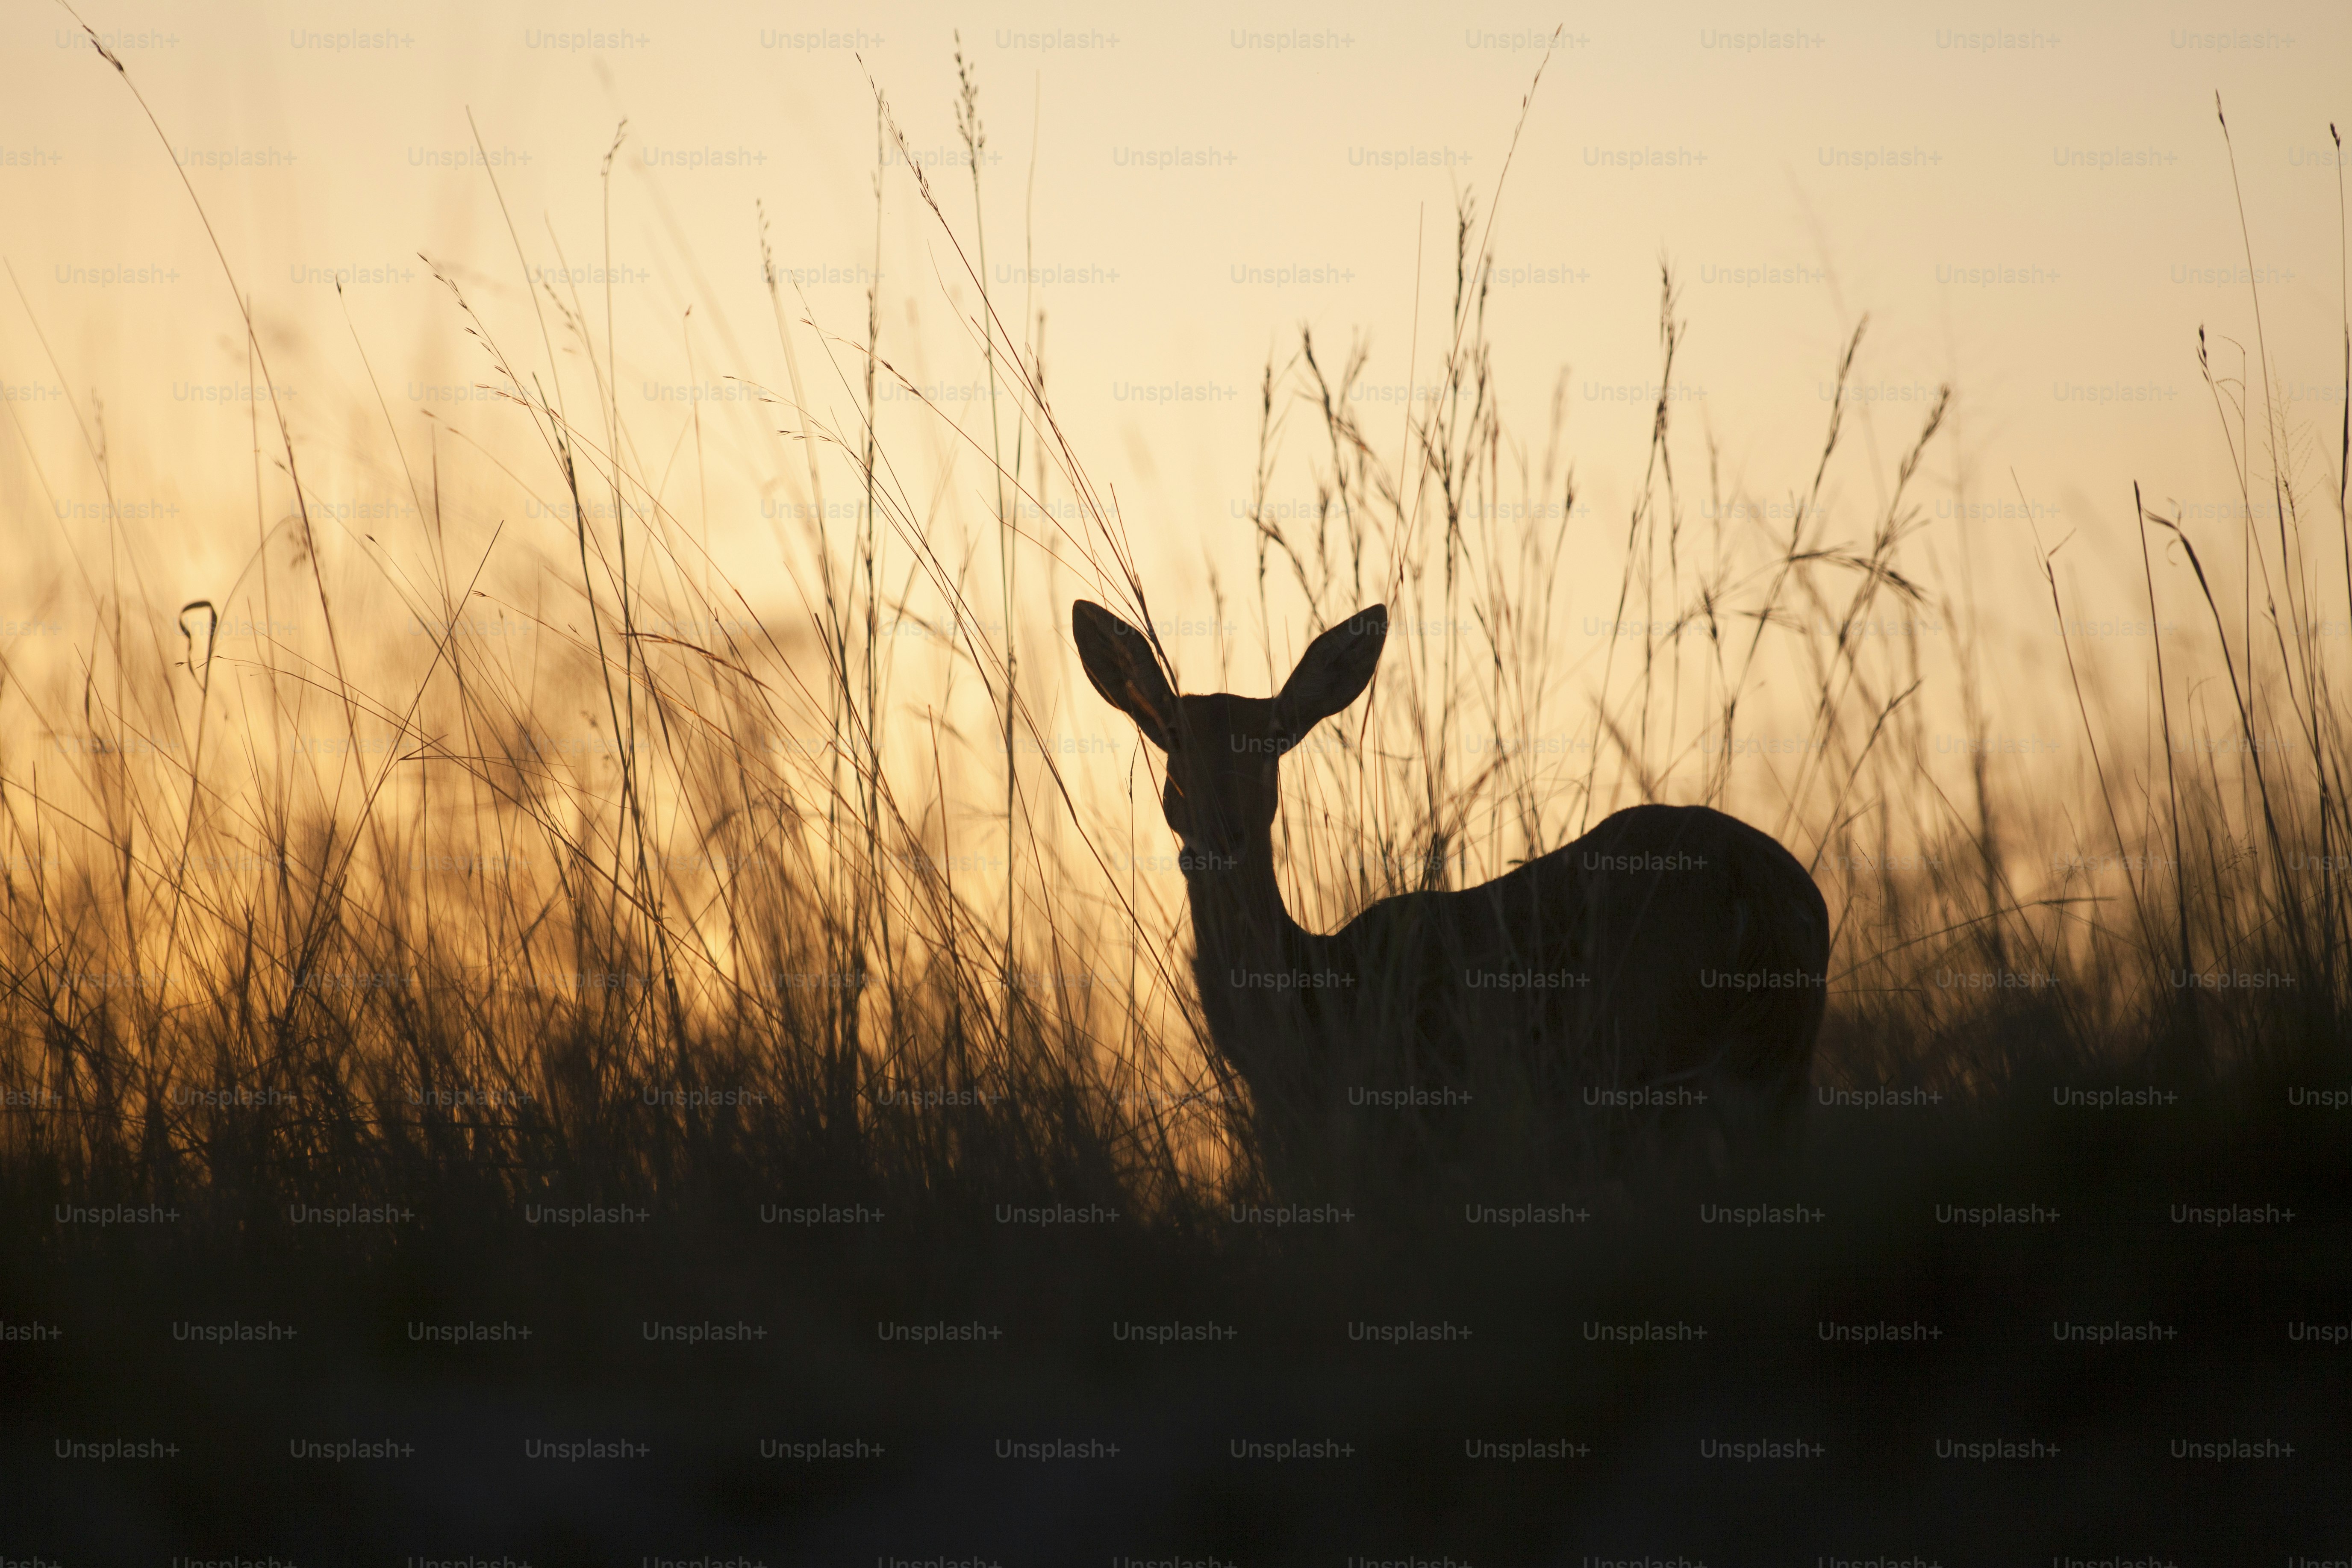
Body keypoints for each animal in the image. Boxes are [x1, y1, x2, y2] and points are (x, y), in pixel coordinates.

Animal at [1071, 598, 1830, 1187]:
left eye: (1274, 740)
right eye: (1172, 735)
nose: (1219, 829)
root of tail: (1763, 896)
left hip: (1641, 1050)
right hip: (1778, 1068)